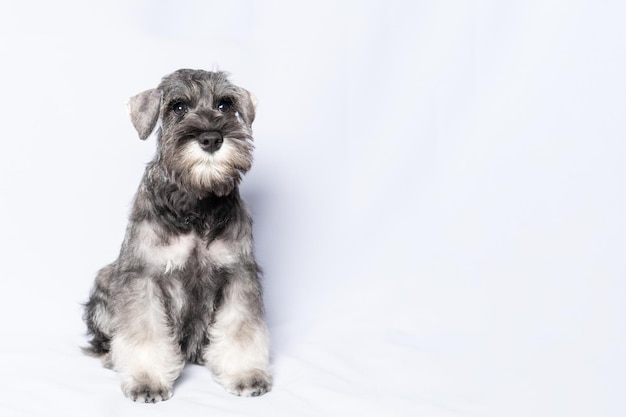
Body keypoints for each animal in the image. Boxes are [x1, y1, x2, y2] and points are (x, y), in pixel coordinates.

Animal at [83, 69, 270, 404]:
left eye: (225, 105)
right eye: (178, 107)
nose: (211, 138)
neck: (196, 201)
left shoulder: (239, 274)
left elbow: (241, 328)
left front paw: (245, 374)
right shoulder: (142, 277)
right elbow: (144, 331)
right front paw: (146, 380)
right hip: (105, 280)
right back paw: (111, 357)